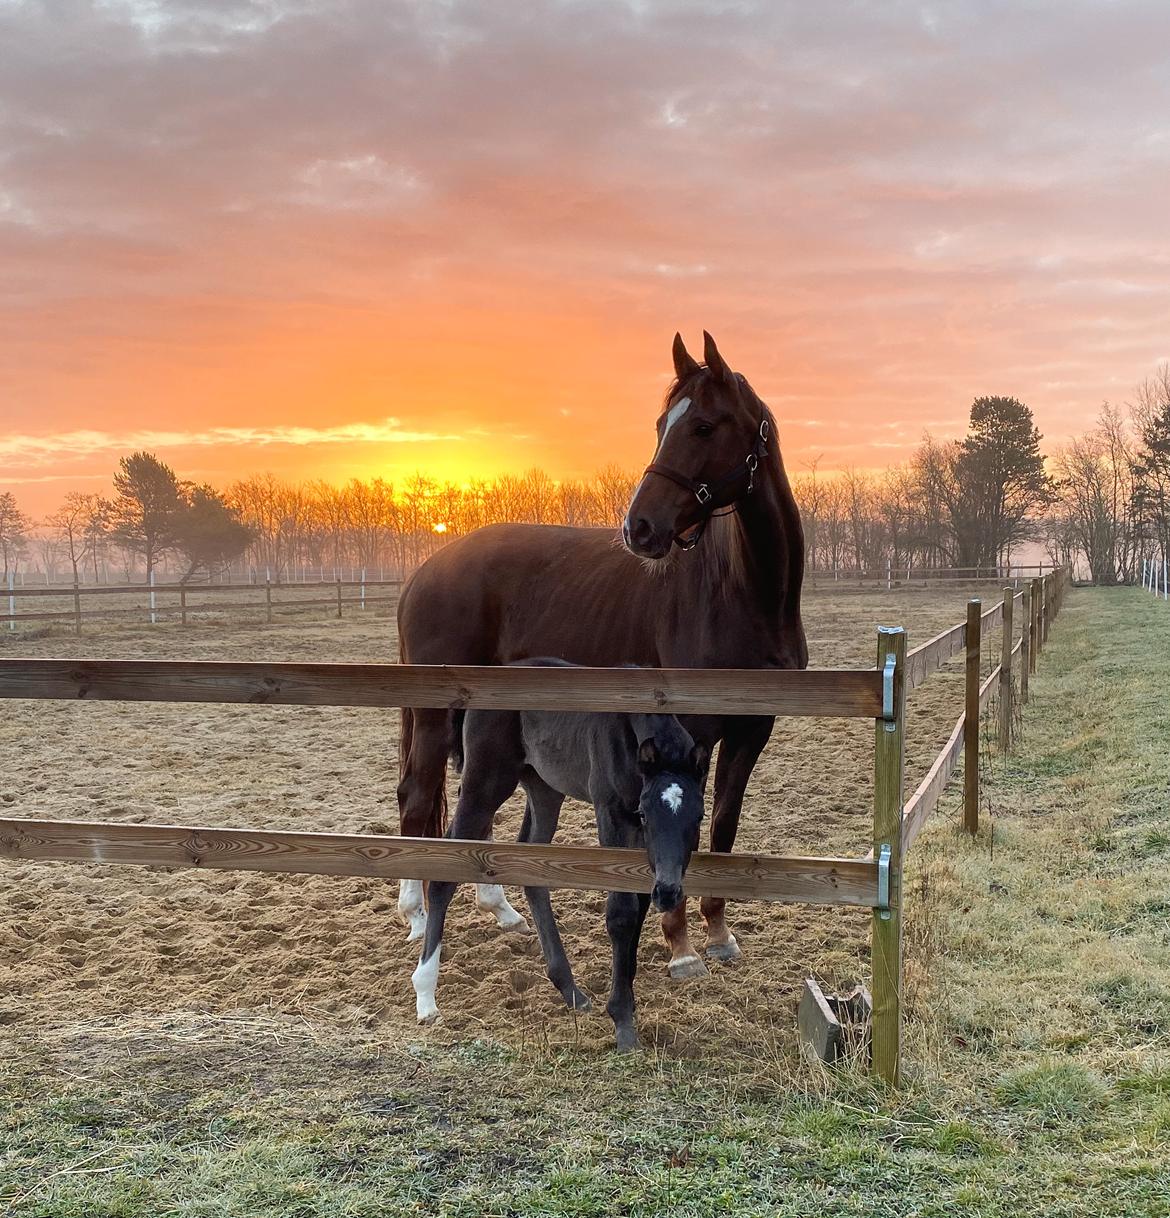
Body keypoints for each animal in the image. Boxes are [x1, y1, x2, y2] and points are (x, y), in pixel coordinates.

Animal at [392, 333, 803, 979]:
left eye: (704, 426)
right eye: (663, 424)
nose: (640, 528)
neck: (747, 594)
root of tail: (425, 571)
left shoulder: (751, 731)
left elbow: (723, 825)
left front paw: (718, 932)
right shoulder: (691, 729)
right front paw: (681, 945)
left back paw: (498, 906)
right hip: (437, 716)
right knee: (416, 800)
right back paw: (416, 915)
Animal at [413, 662, 701, 1052]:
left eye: (698, 817)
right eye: (645, 814)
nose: (669, 892)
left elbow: (638, 905)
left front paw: (627, 1002)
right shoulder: (612, 812)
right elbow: (622, 911)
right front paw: (623, 1021)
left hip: (544, 788)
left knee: (533, 870)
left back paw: (570, 990)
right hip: (485, 783)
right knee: (445, 872)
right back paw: (426, 995)